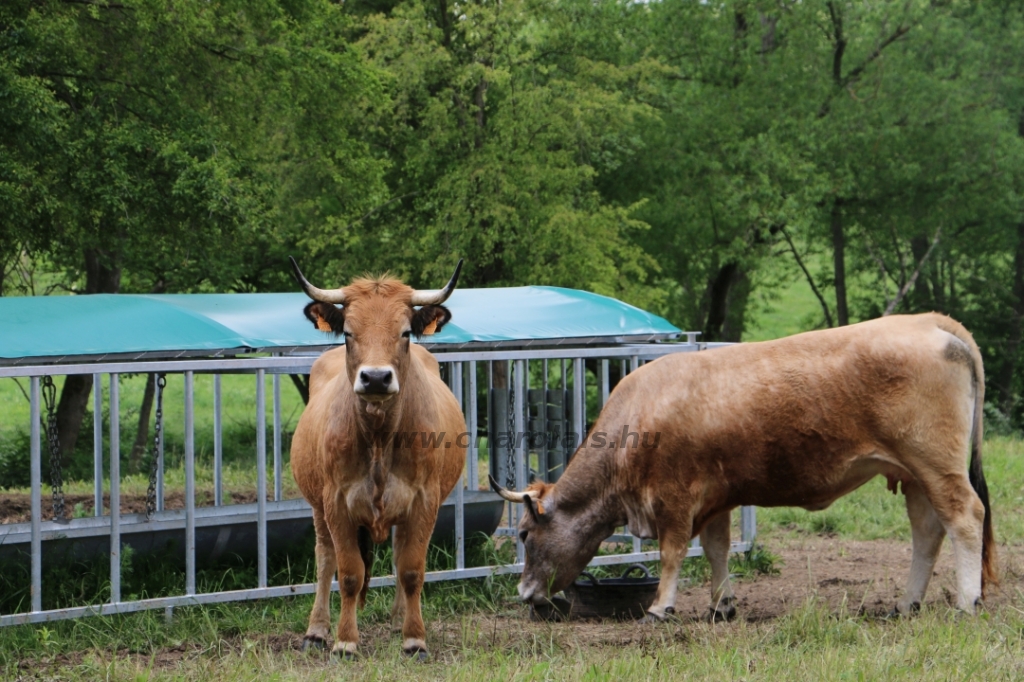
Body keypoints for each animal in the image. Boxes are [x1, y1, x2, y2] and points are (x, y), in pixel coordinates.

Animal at [286, 258, 466, 655]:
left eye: (406, 333)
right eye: (348, 333)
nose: (377, 378)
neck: (380, 438)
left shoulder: (425, 499)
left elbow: (411, 568)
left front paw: (414, 638)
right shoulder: (335, 501)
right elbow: (349, 573)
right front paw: (345, 641)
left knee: (398, 553)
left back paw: (399, 617)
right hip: (317, 505)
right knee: (325, 558)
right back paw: (316, 630)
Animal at [491, 313, 995, 622]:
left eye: (524, 535)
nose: (524, 594)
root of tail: (930, 321)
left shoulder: (675, 498)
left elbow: (673, 552)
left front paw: (660, 607)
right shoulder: (715, 498)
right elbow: (717, 551)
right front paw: (721, 607)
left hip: (936, 465)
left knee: (965, 519)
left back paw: (966, 601)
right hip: (915, 475)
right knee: (927, 532)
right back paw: (907, 603)